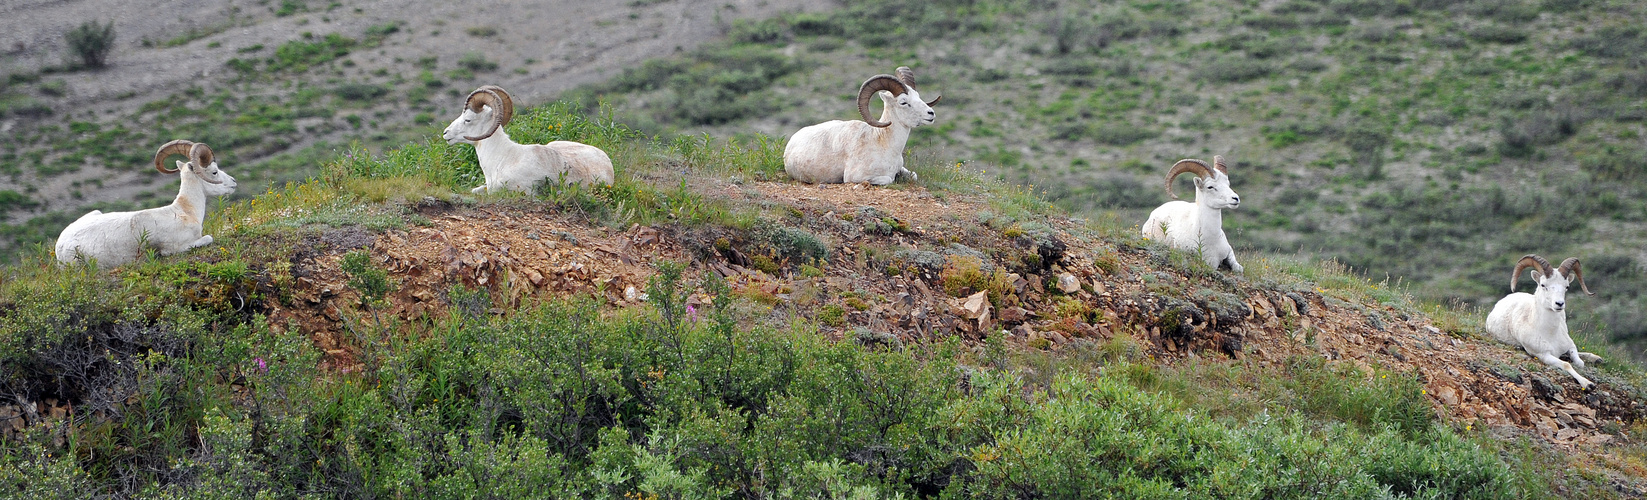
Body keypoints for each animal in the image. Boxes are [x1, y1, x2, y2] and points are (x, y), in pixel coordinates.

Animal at [55, 138, 237, 268]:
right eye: (214, 171)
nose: (234, 182)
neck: (183, 211)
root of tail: (59, 246)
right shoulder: (177, 247)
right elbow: (208, 238)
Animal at [780, 65, 942, 184]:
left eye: (918, 96)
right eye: (903, 102)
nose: (931, 114)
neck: (884, 144)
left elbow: (914, 175)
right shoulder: (857, 177)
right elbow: (888, 179)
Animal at [1488, 256, 1600, 388]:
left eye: (1566, 286)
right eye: (1543, 285)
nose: (1559, 304)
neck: (1550, 334)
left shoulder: (1570, 346)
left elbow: (1579, 363)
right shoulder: (1543, 355)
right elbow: (1567, 364)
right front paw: (1588, 384)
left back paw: (1597, 358)